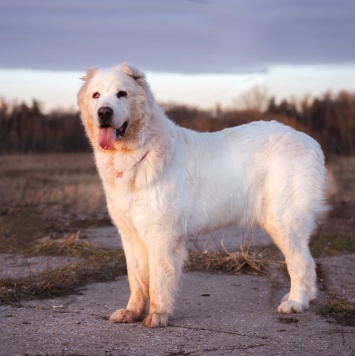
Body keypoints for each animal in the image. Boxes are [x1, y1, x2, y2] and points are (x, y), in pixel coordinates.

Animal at [78, 62, 328, 326]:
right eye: (96, 95)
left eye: (121, 94)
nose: (104, 112)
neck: (138, 153)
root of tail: (310, 142)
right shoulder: (130, 235)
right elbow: (136, 278)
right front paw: (132, 311)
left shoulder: (161, 235)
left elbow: (157, 279)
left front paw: (158, 315)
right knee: (308, 262)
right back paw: (304, 298)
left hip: (283, 221)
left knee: (301, 262)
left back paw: (295, 302)